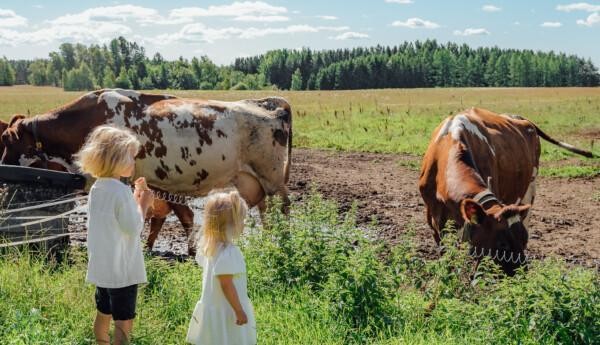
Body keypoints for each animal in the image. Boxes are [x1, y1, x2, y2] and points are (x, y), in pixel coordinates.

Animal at [0, 88, 290, 255]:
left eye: (6, 141)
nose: (3, 168)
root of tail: (267, 104)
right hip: (252, 181)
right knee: (265, 211)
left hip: (273, 177)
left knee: (284, 208)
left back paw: (284, 243)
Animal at [420, 107, 592, 274]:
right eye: (502, 244)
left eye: (523, 239)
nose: (522, 275)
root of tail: (519, 118)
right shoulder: (434, 220)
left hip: (530, 187)